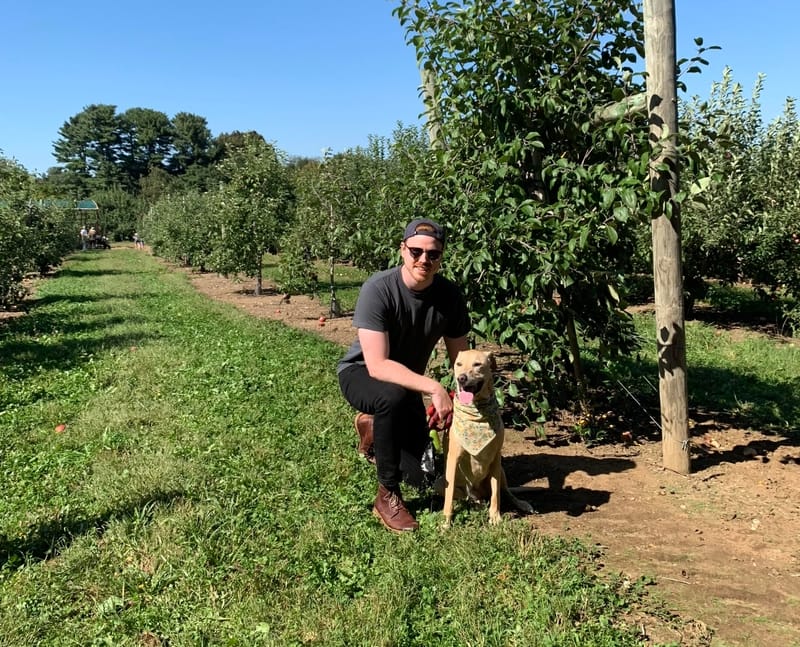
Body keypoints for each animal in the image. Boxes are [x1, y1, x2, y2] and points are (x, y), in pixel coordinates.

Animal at [440, 350, 536, 528]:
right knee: (466, 498)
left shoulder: (496, 458)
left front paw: (495, 517)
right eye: (458, 364)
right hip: (442, 484)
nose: (461, 378)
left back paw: (521, 504)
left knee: (506, 492)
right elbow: (449, 497)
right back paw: (475, 504)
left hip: (502, 472)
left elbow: (496, 492)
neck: (477, 410)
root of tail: (477, 493)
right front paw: (446, 522)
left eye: (477, 364)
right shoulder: (453, 458)